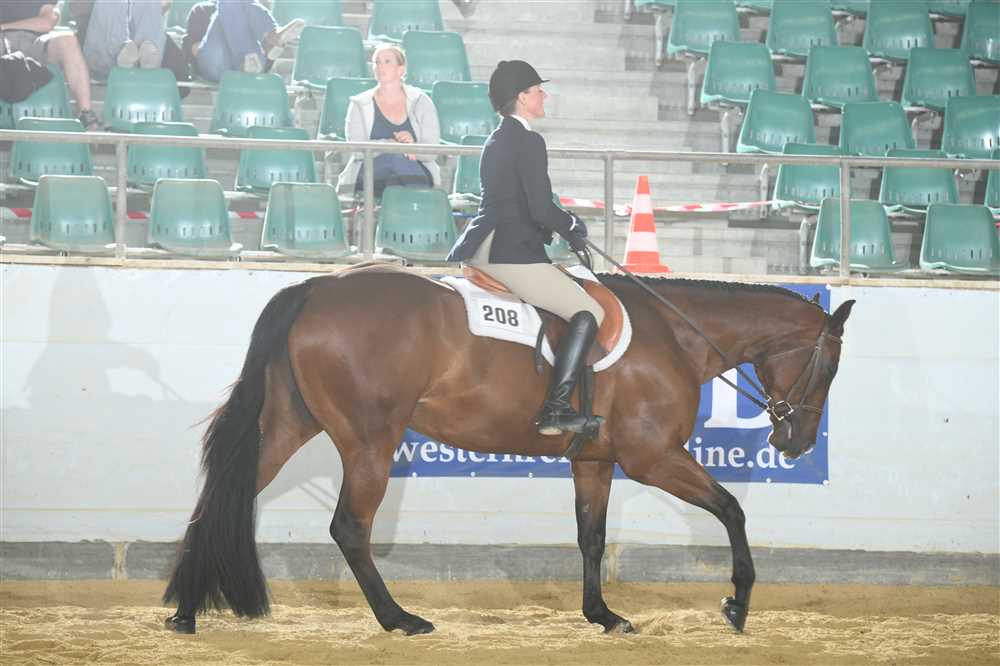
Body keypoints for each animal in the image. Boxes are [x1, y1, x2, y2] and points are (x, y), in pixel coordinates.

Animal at [163, 262, 855, 636]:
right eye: (827, 368)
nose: (794, 441)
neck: (676, 336)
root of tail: (315, 288)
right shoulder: (654, 458)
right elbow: (733, 510)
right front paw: (737, 603)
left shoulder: (595, 461)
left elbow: (591, 537)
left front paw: (602, 615)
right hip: (370, 440)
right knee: (350, 528)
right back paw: (400, 619)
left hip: (286, 426)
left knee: (219, 498)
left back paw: (187, 611)